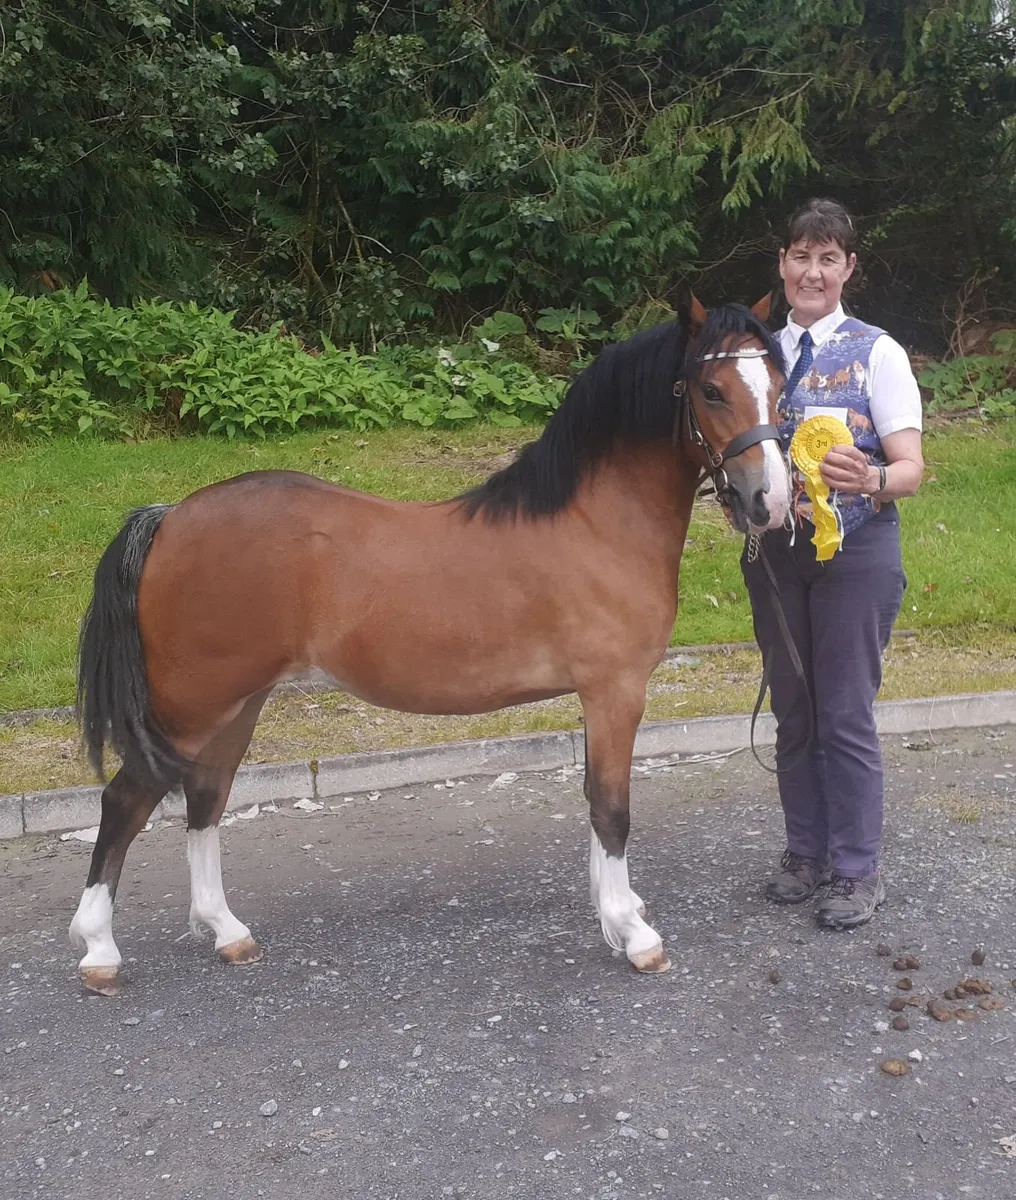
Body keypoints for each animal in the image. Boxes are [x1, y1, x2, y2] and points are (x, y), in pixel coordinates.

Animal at [69, 294, 789, 995]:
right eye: (712, 389)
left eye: (779, 384)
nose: (770, 501)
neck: (595, 520)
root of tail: (169, 518)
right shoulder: (615, 691)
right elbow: (611, 808)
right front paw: (634, 936)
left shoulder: (599, 697)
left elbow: (593, 799)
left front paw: (619, 910)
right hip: (195, 705)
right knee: (126, 802)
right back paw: (100, 951)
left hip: (238, 704)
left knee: (205, 798)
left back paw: (226, 932)